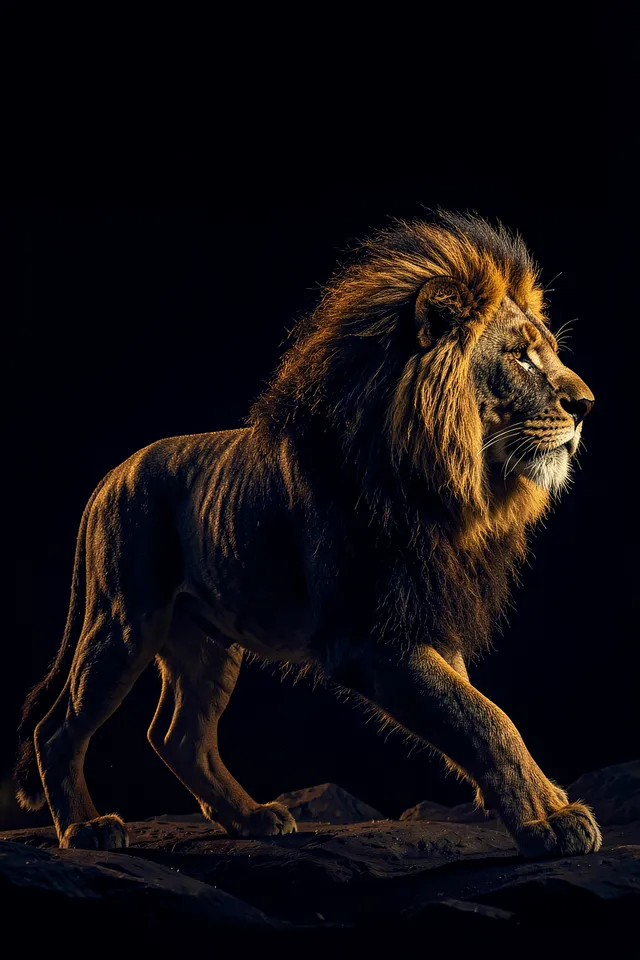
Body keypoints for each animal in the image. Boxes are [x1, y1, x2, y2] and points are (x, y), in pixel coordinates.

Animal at [15, 210, 601, 857]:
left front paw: (546, 805)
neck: (447, 488)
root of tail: (109, 478)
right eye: (521, 357)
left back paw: (253, 818)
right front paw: (548, 821)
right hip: (123, 620)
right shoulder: (369, 637)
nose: (587, 405)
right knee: (57, 728)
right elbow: (484, 719)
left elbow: (476, 711)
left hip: (204, 639)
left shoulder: (424, 614)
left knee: (179, 736)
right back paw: (85, 829)